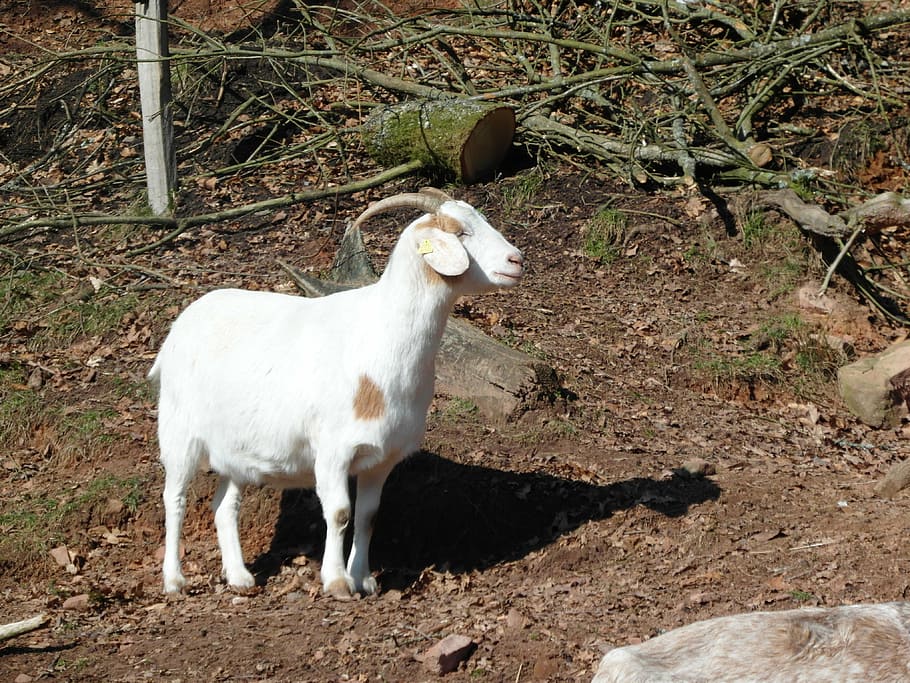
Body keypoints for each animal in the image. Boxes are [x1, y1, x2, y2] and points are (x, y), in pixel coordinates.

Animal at [148, 188, 524, 598]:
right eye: (460, 233)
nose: (516, 260)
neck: (377, 334)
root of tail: (182, 323)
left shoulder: (382, 456)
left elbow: (368, 517)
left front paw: (364, 578)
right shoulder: (332, 450)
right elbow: (340, 512)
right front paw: (337, 581)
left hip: (236, 451)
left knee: (224, 506)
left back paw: (239, 576)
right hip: (178, 433)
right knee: (174, 499)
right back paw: (174, 580)